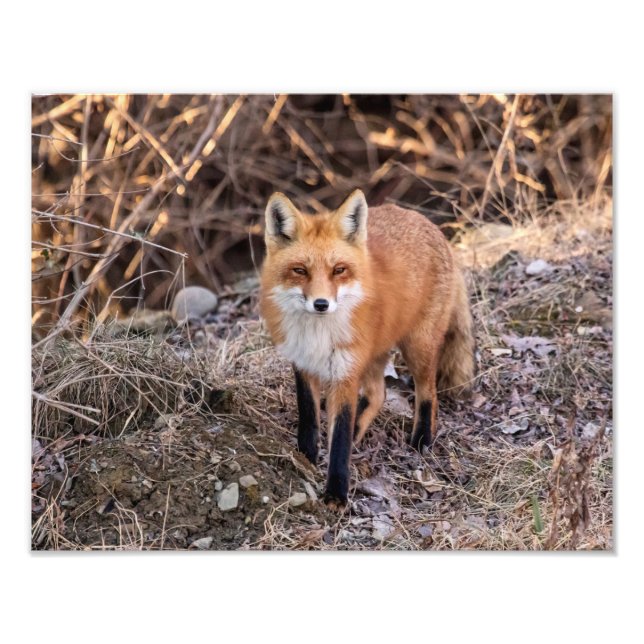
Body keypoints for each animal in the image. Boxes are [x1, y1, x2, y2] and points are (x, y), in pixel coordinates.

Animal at [259, 189, 475, 506]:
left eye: (338, 270)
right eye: (300, 270)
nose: (321, 304)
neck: (318, 334)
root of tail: (428, 223)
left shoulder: (345, 373)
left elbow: (339, 437)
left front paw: (336, 494)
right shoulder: (303, 363)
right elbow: (309, 416)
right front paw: (306, 455)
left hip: (417, 346)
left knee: (428, 393)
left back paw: (421, 440)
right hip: (374, 353)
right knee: (378, 394)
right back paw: (361, 430)